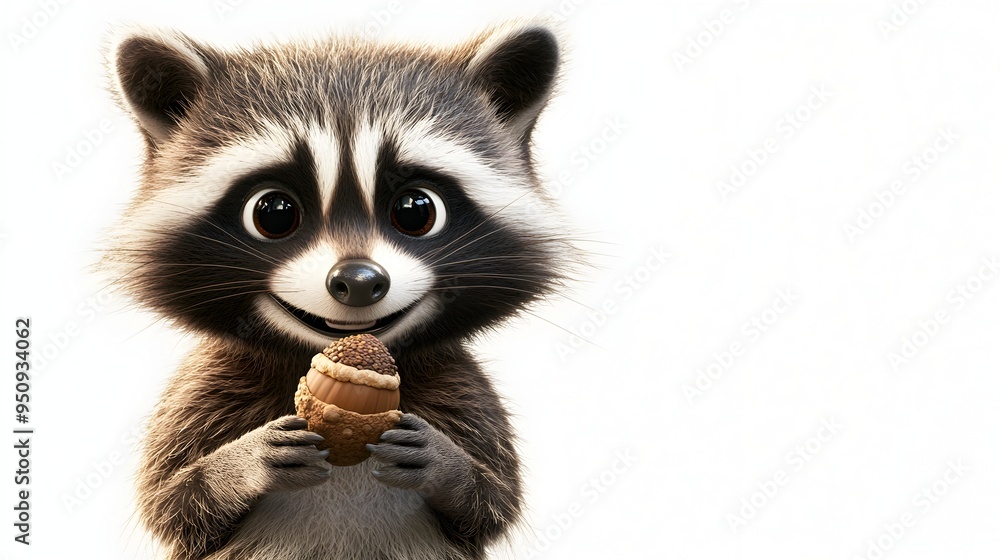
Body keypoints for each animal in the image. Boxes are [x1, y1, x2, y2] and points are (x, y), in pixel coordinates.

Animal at [105, 21, 567, 560]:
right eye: (273, 213)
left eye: (416, 209)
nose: (359, 280)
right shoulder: (208, 386)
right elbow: (170, 502)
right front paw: (240, 463)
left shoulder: (461, 389)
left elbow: (492, 503)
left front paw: (447, 464)